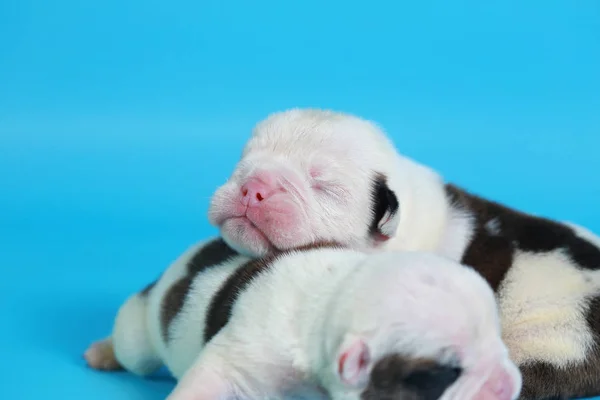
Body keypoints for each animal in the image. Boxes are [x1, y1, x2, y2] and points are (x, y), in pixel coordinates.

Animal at [83, 239, 520, 400]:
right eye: (444, 375)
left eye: (500, 341)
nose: (509, 383)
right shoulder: (243, 354)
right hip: (140, 334)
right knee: (132, 347)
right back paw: (103, 351)